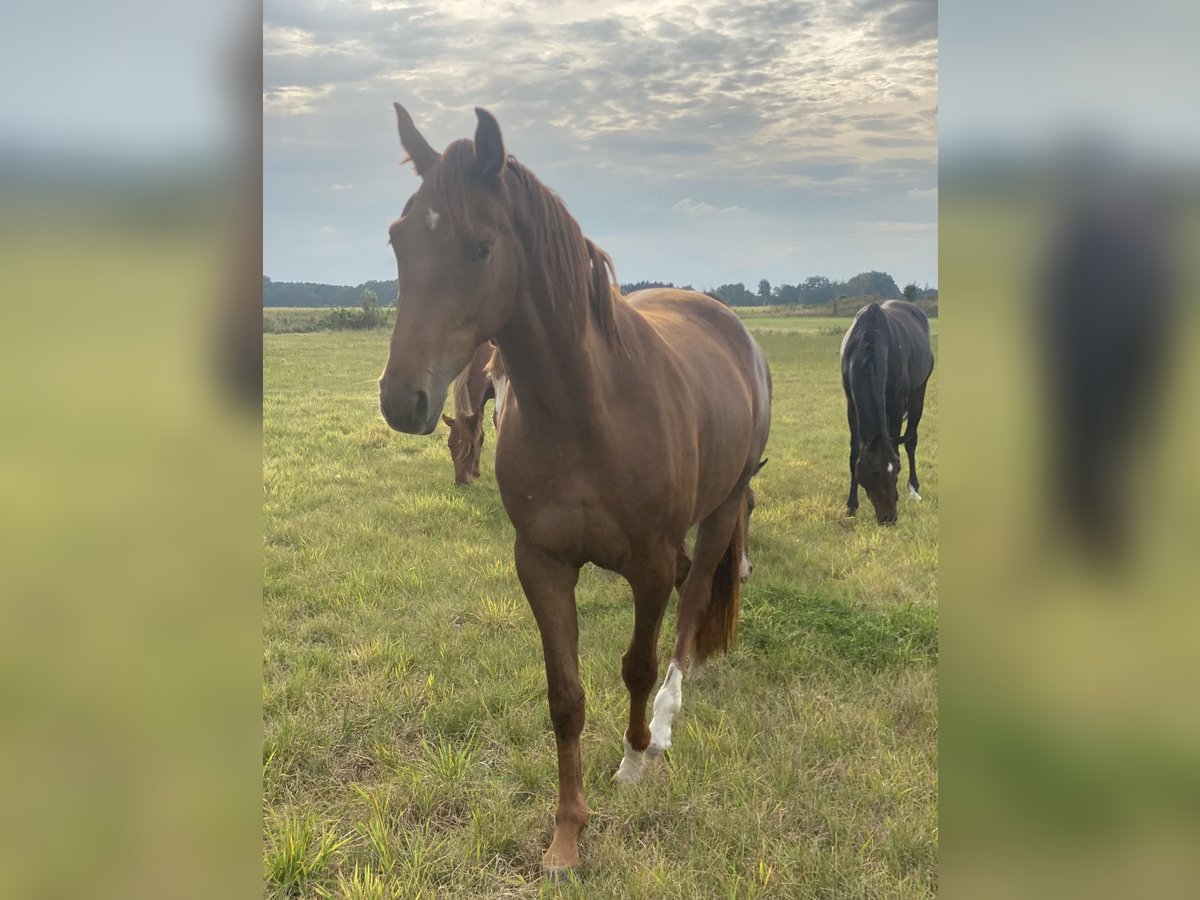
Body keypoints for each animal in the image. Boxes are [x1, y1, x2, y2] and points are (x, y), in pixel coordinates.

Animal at [840, 300, 931, 525]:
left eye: (897, 470)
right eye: (872, 472)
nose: (889, 518)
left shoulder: (896, 404)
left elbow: (899, 445)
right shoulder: (851, 403)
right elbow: (854, 452)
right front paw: (851, 506)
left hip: (918, 392)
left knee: (911, 440)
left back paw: (914, 490)